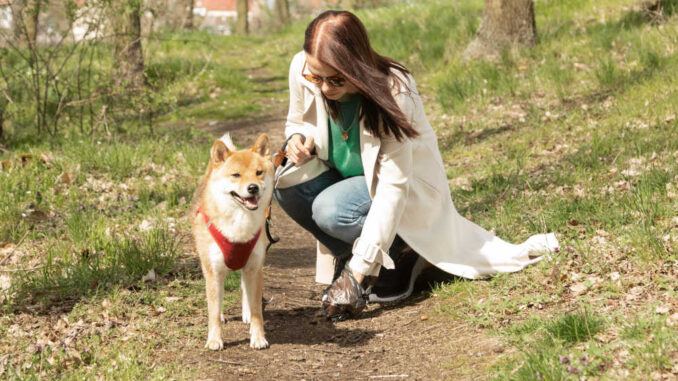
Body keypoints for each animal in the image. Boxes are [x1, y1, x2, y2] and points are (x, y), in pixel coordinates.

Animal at [191, 134, 274, 350]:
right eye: (236, 175)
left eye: (259, 172)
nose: (253, 187)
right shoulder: (213, 271)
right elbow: (213, 311)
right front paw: (214, 339)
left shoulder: (255, 267)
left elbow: (257, 310)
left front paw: (258, 337)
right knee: (217, 300)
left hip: (249, 268)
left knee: (246, 291)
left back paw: (246, 313)